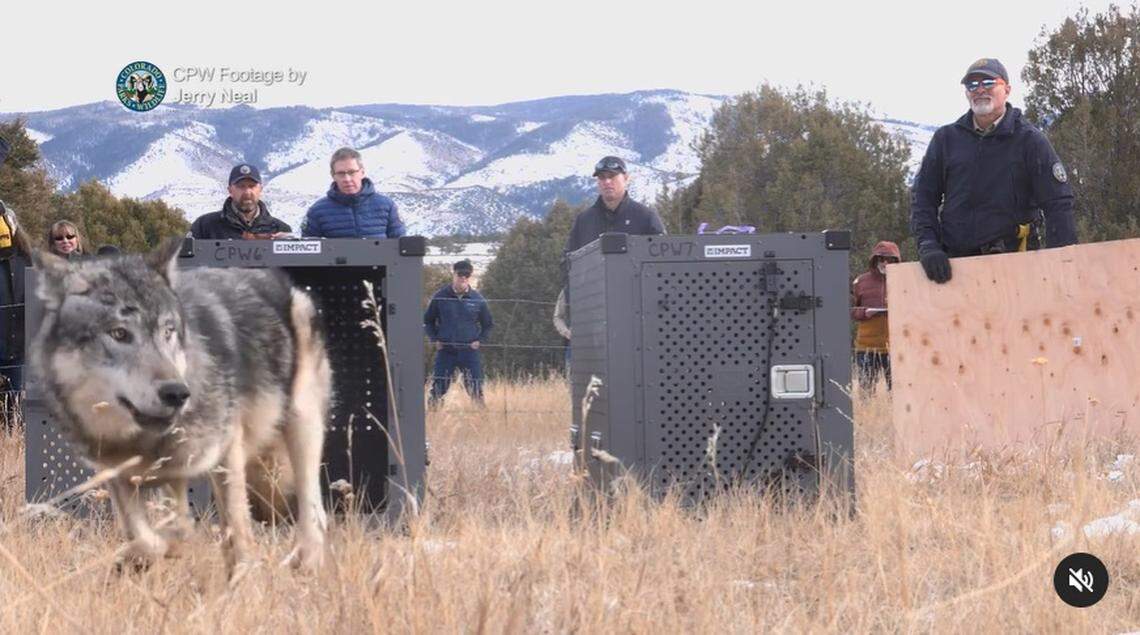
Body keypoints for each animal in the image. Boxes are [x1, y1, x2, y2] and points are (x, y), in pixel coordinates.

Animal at [31, 237, 331, 576]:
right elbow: (151, 534)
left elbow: (235, 530)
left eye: (168, 331)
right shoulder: (118, 471)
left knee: (315, 511)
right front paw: (150, 555)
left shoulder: (227, 452)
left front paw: (243, 581)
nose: (176, 393)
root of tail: (282, 281)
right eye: (119, 333)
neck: (143, 441)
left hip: (301, 424)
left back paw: (306, 564)